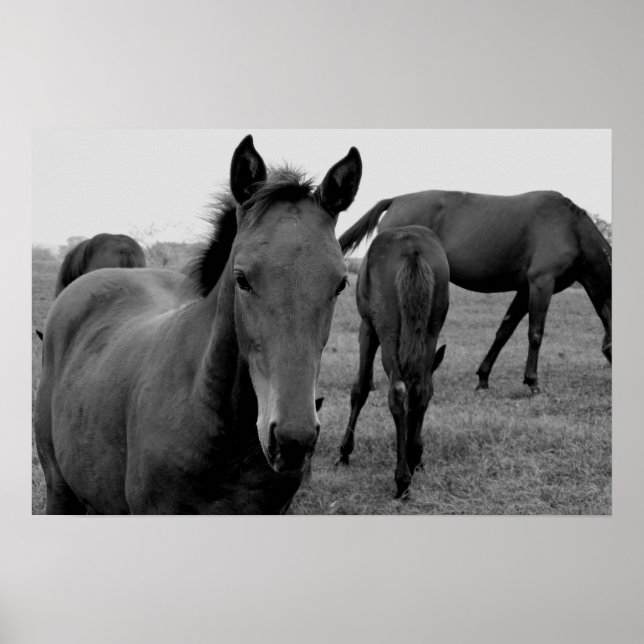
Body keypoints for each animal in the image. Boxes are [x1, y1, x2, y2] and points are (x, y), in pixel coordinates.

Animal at [336, 226, 449, 499]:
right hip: (430, 331)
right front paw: (414, 453)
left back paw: (402, 480)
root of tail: (412, 248)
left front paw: (345, 451)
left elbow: (360, 388)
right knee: (420, 389)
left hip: (387, 333)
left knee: (397, 390)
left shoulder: (367, 330)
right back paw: (410, 460)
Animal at [339, 190, 611, 393]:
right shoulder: (541, 283)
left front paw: (483, 378)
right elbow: (535, 333)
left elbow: (504, 331)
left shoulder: (525, 289)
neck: (570, 228)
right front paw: (532, 382)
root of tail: (395, 201)